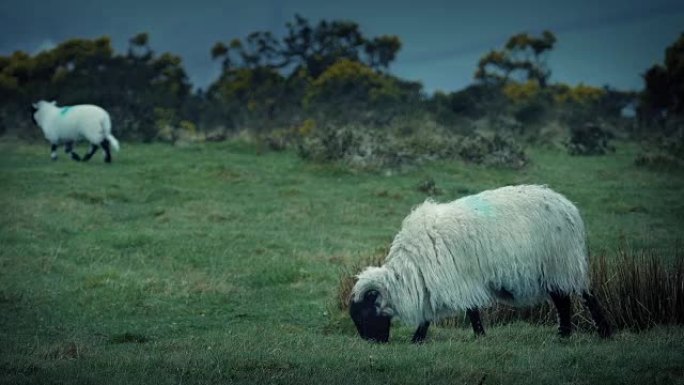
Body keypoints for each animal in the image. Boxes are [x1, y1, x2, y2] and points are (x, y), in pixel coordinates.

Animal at [350, 184, 612, 344]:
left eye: (364, 313)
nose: (374, 343)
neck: (410, 270)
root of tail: (568, 206)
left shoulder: (454, 280)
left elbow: (468, 311)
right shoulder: (441, 282)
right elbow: (454, 311)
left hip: (565, 262)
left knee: (587, 295)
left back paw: (604, 332)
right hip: (551, 270)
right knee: (563, 301)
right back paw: (563, 335)